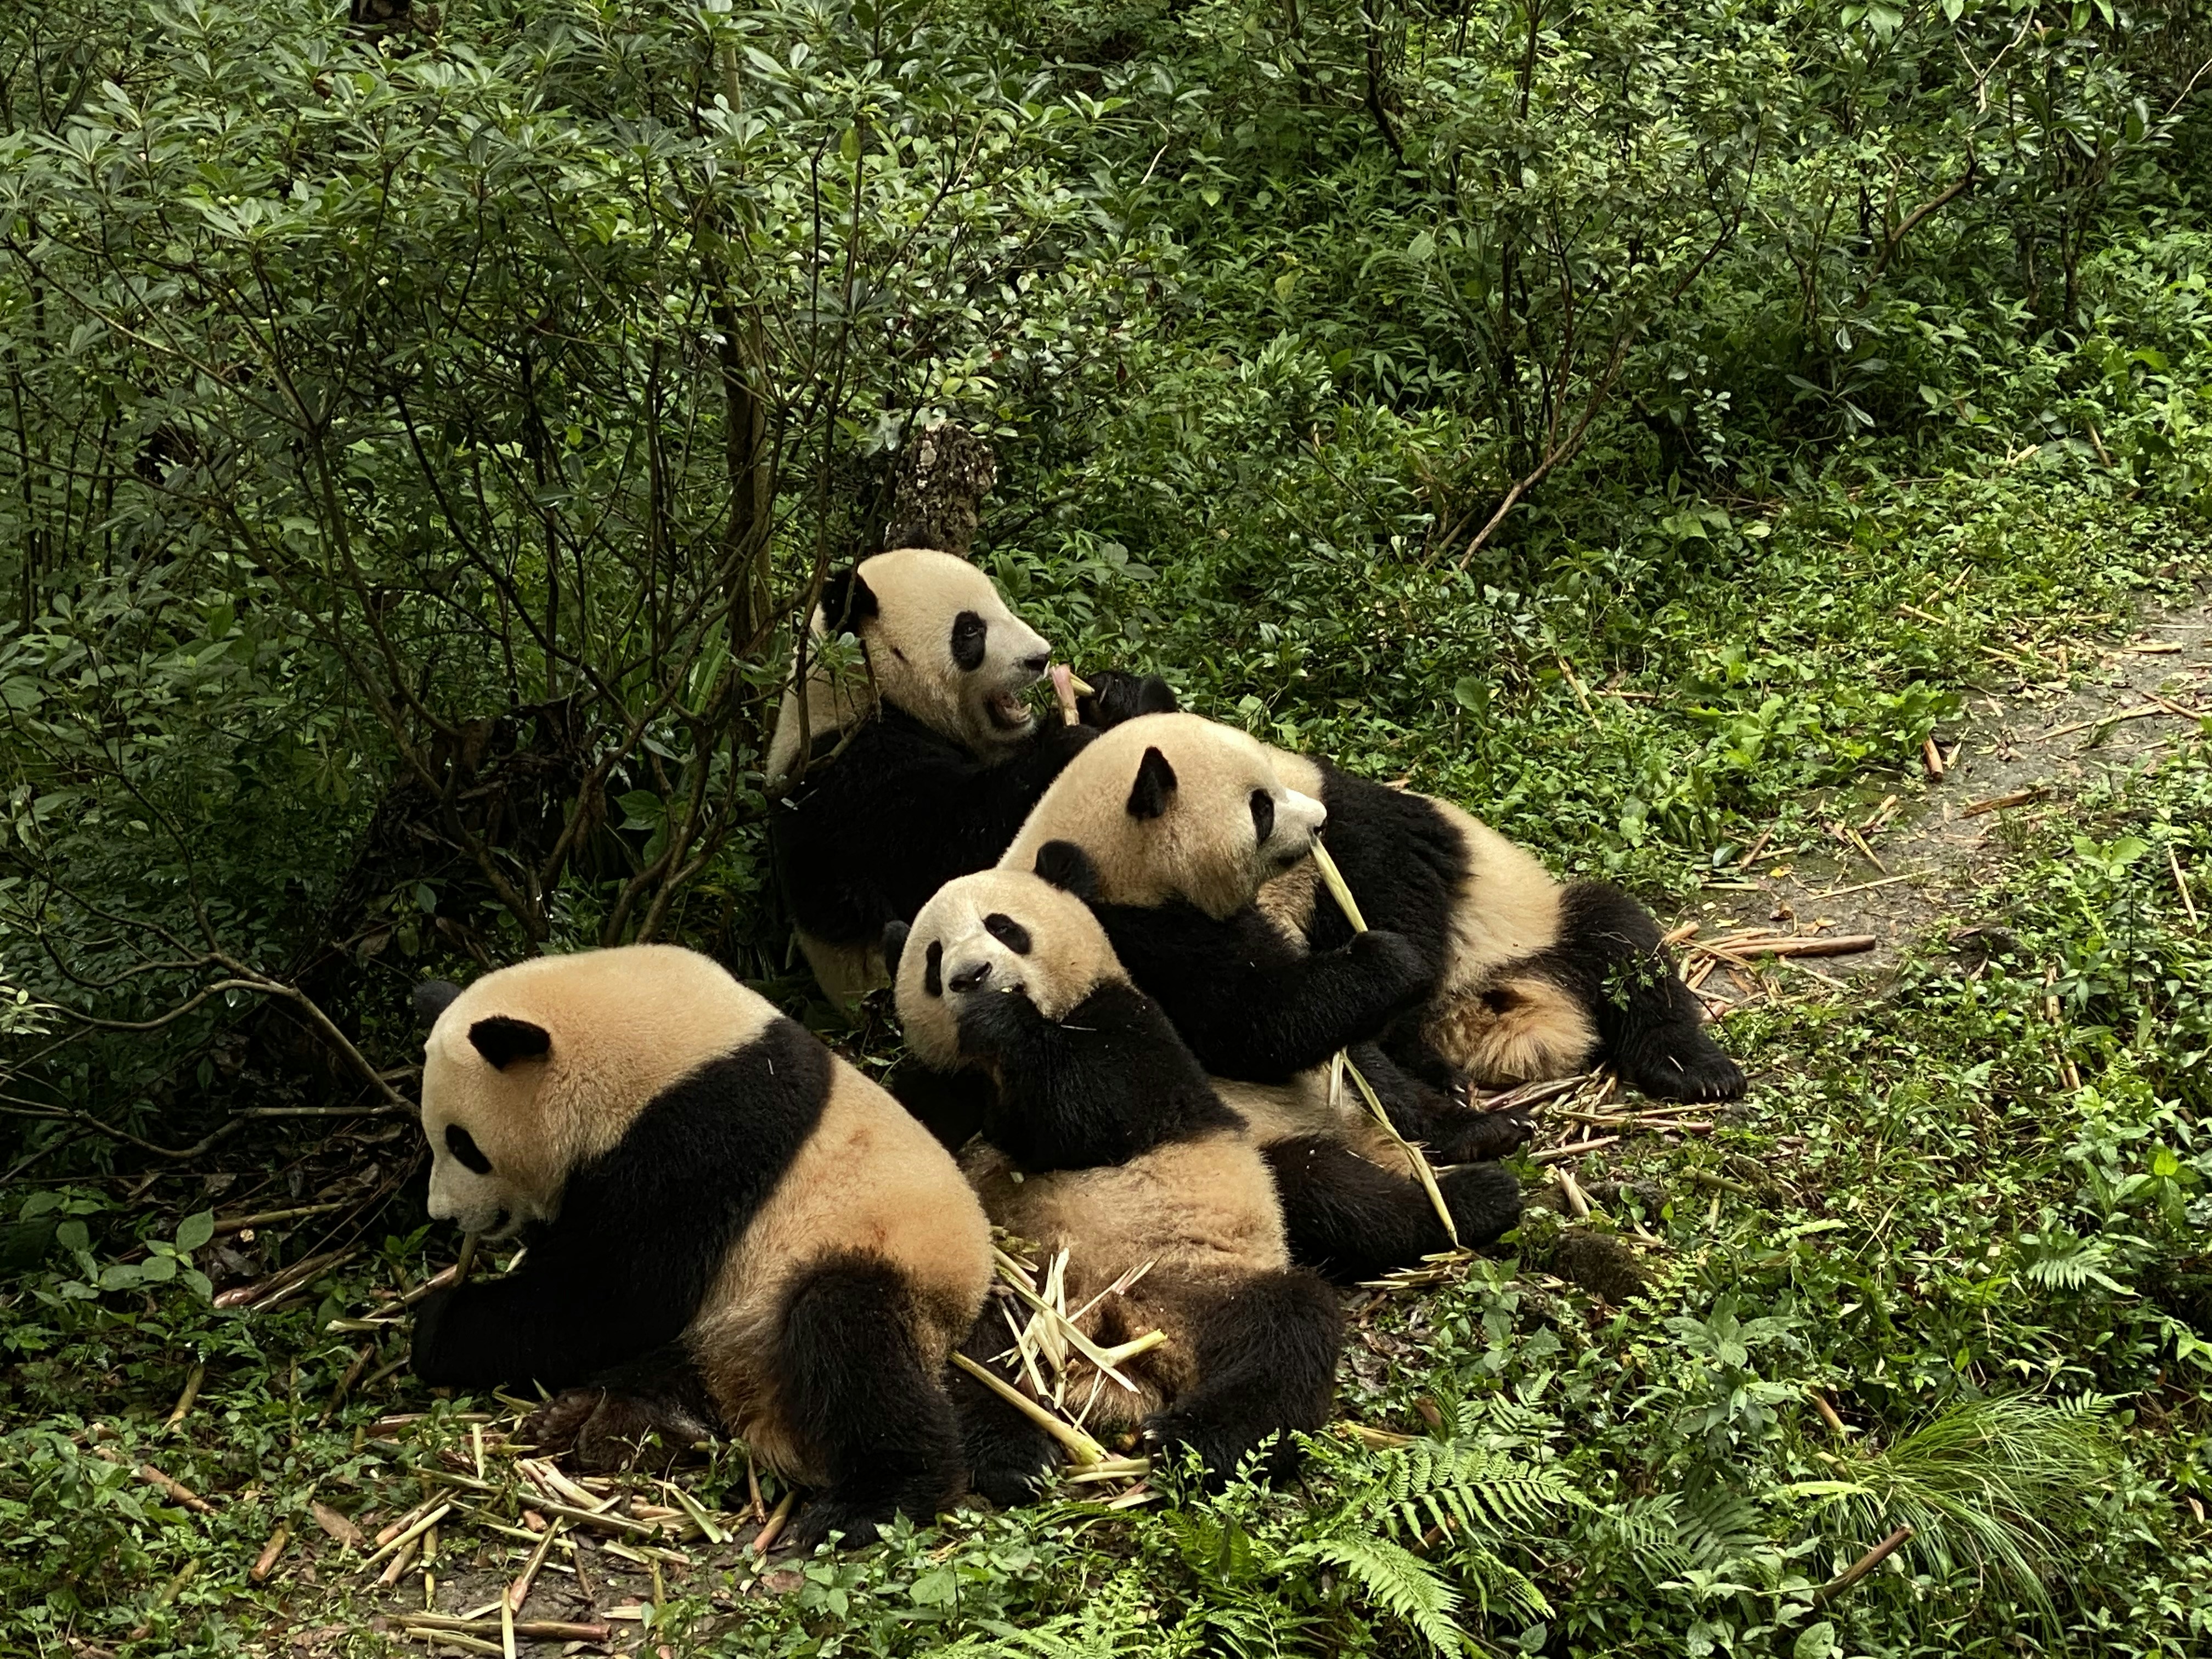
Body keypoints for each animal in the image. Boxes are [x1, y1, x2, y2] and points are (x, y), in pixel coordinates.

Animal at [407, 944, 992, 1551]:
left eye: (464, 1145)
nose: (445, 1215)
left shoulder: (696, 1139)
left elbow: (617, 1296)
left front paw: (439, 1325)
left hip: (879, 1269)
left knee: (847, 1335)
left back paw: (879, 1501)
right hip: (739, 1332)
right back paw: (613, 1418)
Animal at [765, 546, 1170, 1005]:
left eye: (1001, 604)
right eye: (971, 631)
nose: (1040, 657)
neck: (867, 689)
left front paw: (1115, 696)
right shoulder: (854, 781)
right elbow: (952, 853)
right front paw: (1069, 744)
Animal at [881, 867, 1345, 1499]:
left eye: (1003, 927)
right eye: (933, 958)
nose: (971, 977)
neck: (989, 1072)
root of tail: (1117, 1348)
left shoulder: (1136, 1029)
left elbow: (1091, 1108)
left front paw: (1001, 1023)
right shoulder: (938, 1085)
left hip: (1204, 1287)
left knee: (1287, 1336)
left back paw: (1190, 1443)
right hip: (1021, 1291)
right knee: (978, 1360)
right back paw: (1016, 1457)